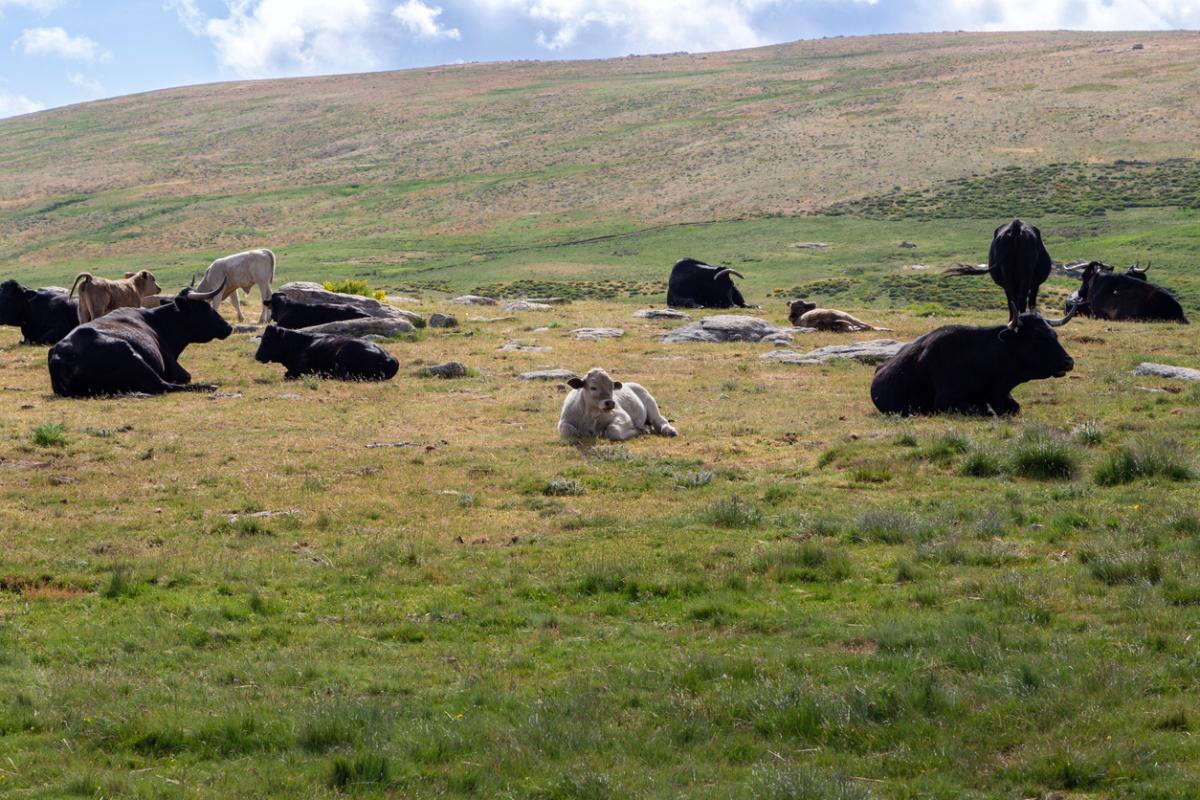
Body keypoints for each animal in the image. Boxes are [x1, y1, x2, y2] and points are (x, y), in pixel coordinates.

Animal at [47, 281, 231, 397]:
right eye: (205, 307)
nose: (228, 327)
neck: (158, 322)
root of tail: (60, 353)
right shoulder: (174, 366)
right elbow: (186, 376)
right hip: (133, 357)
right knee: (162, 386)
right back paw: (207, 386)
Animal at [870, 310, 1075, 417]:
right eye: (1037, 336)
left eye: (1054, 334)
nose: (1068, 361)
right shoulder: (945, 401)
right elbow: (985, 410)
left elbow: (1015, 407)